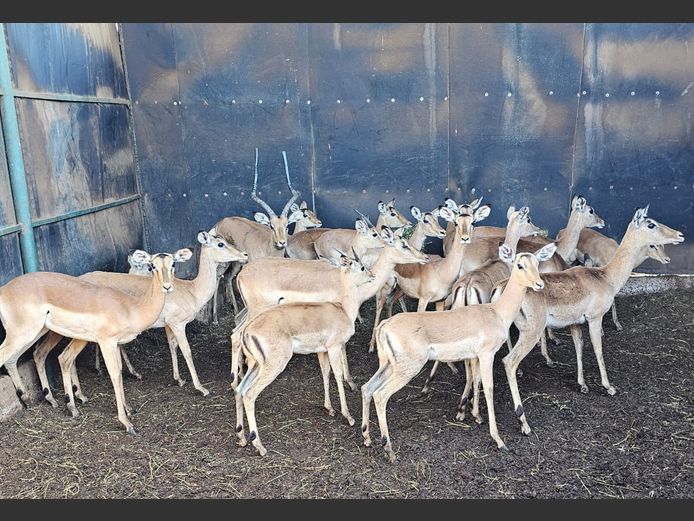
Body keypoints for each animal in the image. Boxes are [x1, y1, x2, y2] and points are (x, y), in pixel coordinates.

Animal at [0, 250, 188, 433]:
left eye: (173, 263)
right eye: (152, 266)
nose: (167, 287)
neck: (130, 307)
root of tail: (4, 290)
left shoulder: (115, 344)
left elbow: (120, 372)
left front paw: (129, 409)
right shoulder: (107, 342)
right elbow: (114, 374)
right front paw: (127, 423)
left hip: (34, 333)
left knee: (22, 358)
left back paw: (38, 399)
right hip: (24, 334)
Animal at [32, 229, 249, 413]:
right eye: (220, 243)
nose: (244, 254)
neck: (192, 291)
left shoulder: (167, 324)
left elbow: (172, 346)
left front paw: (178, 379)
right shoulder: (178, 323)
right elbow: (186, 350)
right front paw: (201, 388)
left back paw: (80, 395)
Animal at [235, 254, 375, 456]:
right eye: (362, 267)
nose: (372, 275)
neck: (343, 310)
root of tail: (248, 331)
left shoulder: (322, 351)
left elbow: (325, 373)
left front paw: (329, 408)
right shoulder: (335, 347)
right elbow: (338, 375)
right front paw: (348, 416)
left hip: (255, 366)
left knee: (239, 389)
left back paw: (241, 437)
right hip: (273, 366)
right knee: (249, 394)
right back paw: (259, 446)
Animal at [361, 242, 558, 461]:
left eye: (537, 264)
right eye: (520, 265)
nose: (539, 284)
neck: (496, 312)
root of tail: (385, 325)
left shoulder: (475, 356)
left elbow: (475, 379)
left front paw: (472, 414)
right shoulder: (487, 355)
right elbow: (489, 388)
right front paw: (499, 439)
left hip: (387, 366)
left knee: (367, 388)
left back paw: (367, 438)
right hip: (407, 369)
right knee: (380, 395)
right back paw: (389, 449)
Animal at [483, 206, 683, 438]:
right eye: (651, 224)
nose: (680, 235)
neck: (605, 277)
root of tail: (500, 288)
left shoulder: (576, 323)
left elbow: (579, 347)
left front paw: (583, 385)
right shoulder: (595, 318)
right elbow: (597, 348)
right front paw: (609, 386)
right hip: (531, 331)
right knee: (509, 361)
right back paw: (524, 424)